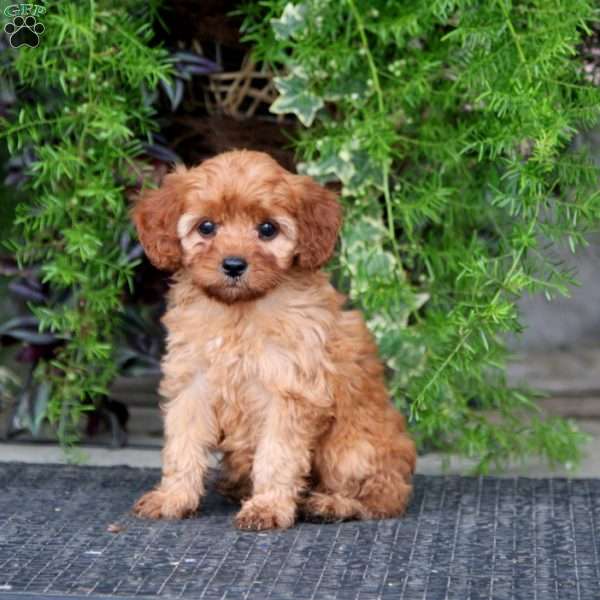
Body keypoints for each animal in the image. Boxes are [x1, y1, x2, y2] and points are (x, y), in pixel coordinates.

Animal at [131, 150, 414, 528]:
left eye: (267, 229)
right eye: (206, 227)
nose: (234, 265)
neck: (239, 310)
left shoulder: (288, 390)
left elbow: (277, 454)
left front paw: (268, 506)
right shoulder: (192, 383)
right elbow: (182, 444)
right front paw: (173, 498)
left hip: (350, 448)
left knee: (382, 494)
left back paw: (330, 504)